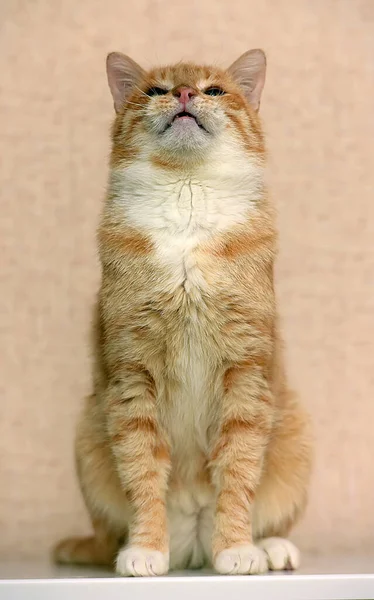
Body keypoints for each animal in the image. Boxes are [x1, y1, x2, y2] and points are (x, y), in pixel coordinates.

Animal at [52, 50, 312, 576]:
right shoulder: (132, 376)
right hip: (88, 436)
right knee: (109, 534)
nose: (186, 94)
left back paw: (270, 547)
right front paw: (147, 549)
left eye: (214, 90)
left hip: (296, 435)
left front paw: (236, 548)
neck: (187, 196)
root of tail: (193, 539)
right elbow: (142, 472)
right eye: (157, 90)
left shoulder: (245, 373)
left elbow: (238, 470)